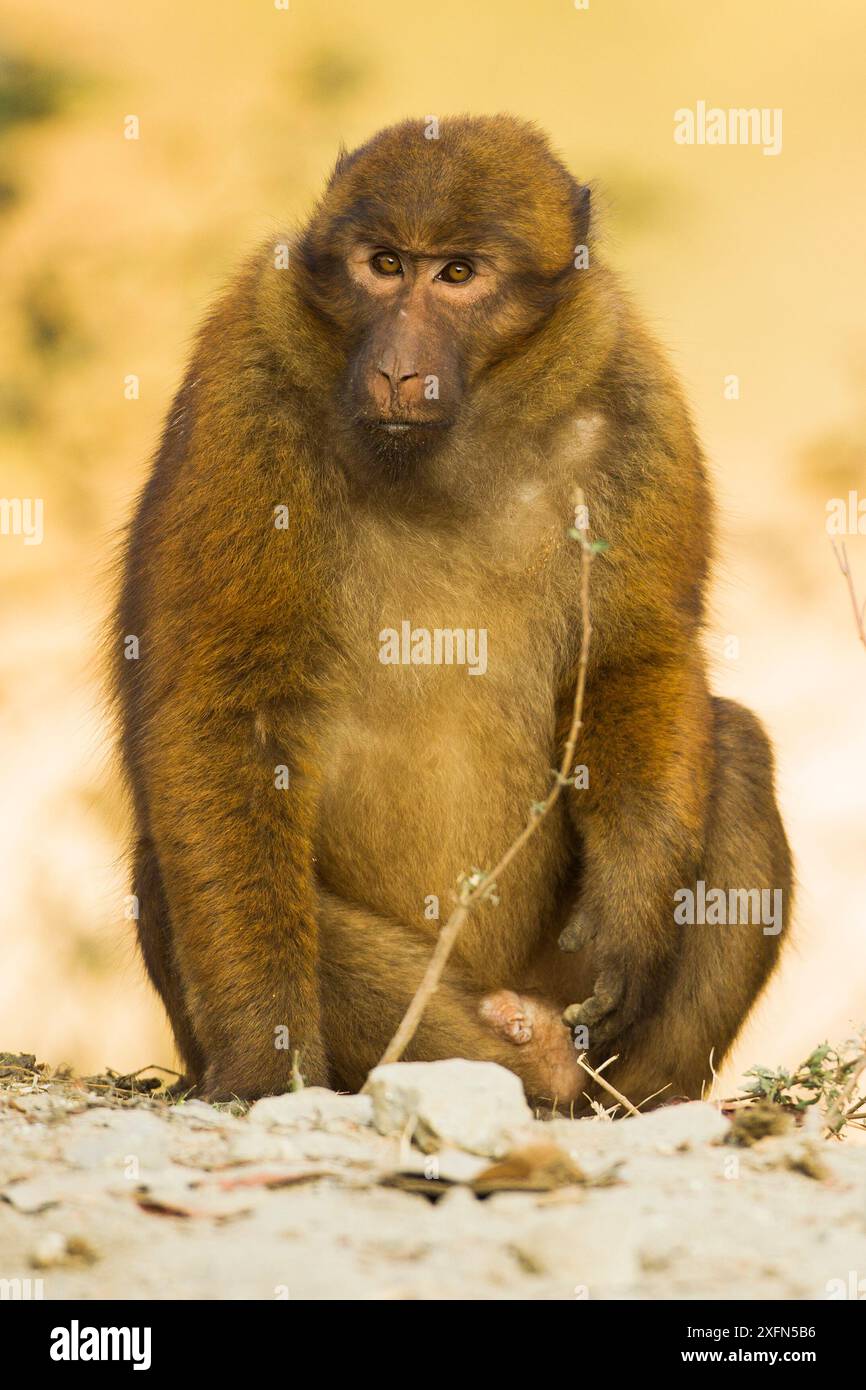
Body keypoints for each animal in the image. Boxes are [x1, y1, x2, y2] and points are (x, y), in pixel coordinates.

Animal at [115, 113, 795, 1100]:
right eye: (385, 265)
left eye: (459, 275)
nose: (399, 369)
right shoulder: (251, 364)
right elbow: (229, 704)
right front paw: (264, 1059)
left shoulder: (626, 383)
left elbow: (637, 653)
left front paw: (633, 914)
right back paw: (527, 1060)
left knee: (734, 749)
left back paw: (617, 1099)